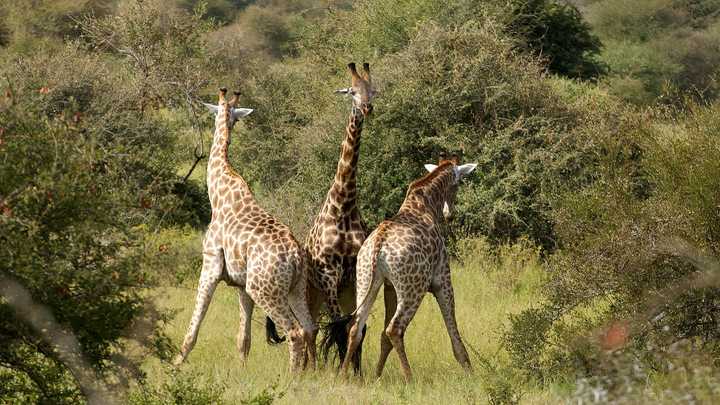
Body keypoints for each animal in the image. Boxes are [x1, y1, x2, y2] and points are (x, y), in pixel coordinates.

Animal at [173, 87, 316, 370]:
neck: (218, 192)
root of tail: (295, 256)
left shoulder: (210, 265)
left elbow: (195, 324)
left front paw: (176, 362)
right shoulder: (240, 284)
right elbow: (243, 338)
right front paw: (242, 370)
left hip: (264, 290)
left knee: (294, 332)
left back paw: (294, 376)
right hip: (294, 288)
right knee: (309, 328)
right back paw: (312, 372)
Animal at [264, 62, 376, 370]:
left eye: (373, 90)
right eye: (351, 92)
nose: (367, 108)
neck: (344, 206)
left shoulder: (352, 277)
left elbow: (355, 328)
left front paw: (355, 373)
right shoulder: (328, 275)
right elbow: (337, 327)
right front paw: (338, 372)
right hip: (310, 294)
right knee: (310, 329)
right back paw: (308, 368)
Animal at [338, 154, 476, 378]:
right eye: (457, 185)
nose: (450, 215)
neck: (426, 203)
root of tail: (378, 244)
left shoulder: (390, 287)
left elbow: (382, 338)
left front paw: (377, 376)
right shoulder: (443, 280)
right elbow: (453, 329)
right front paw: (470, 371)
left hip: (367, 280)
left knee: (356, 327)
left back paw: (342, 375)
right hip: (414, 289)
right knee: (394, 329)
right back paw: (410, 378)